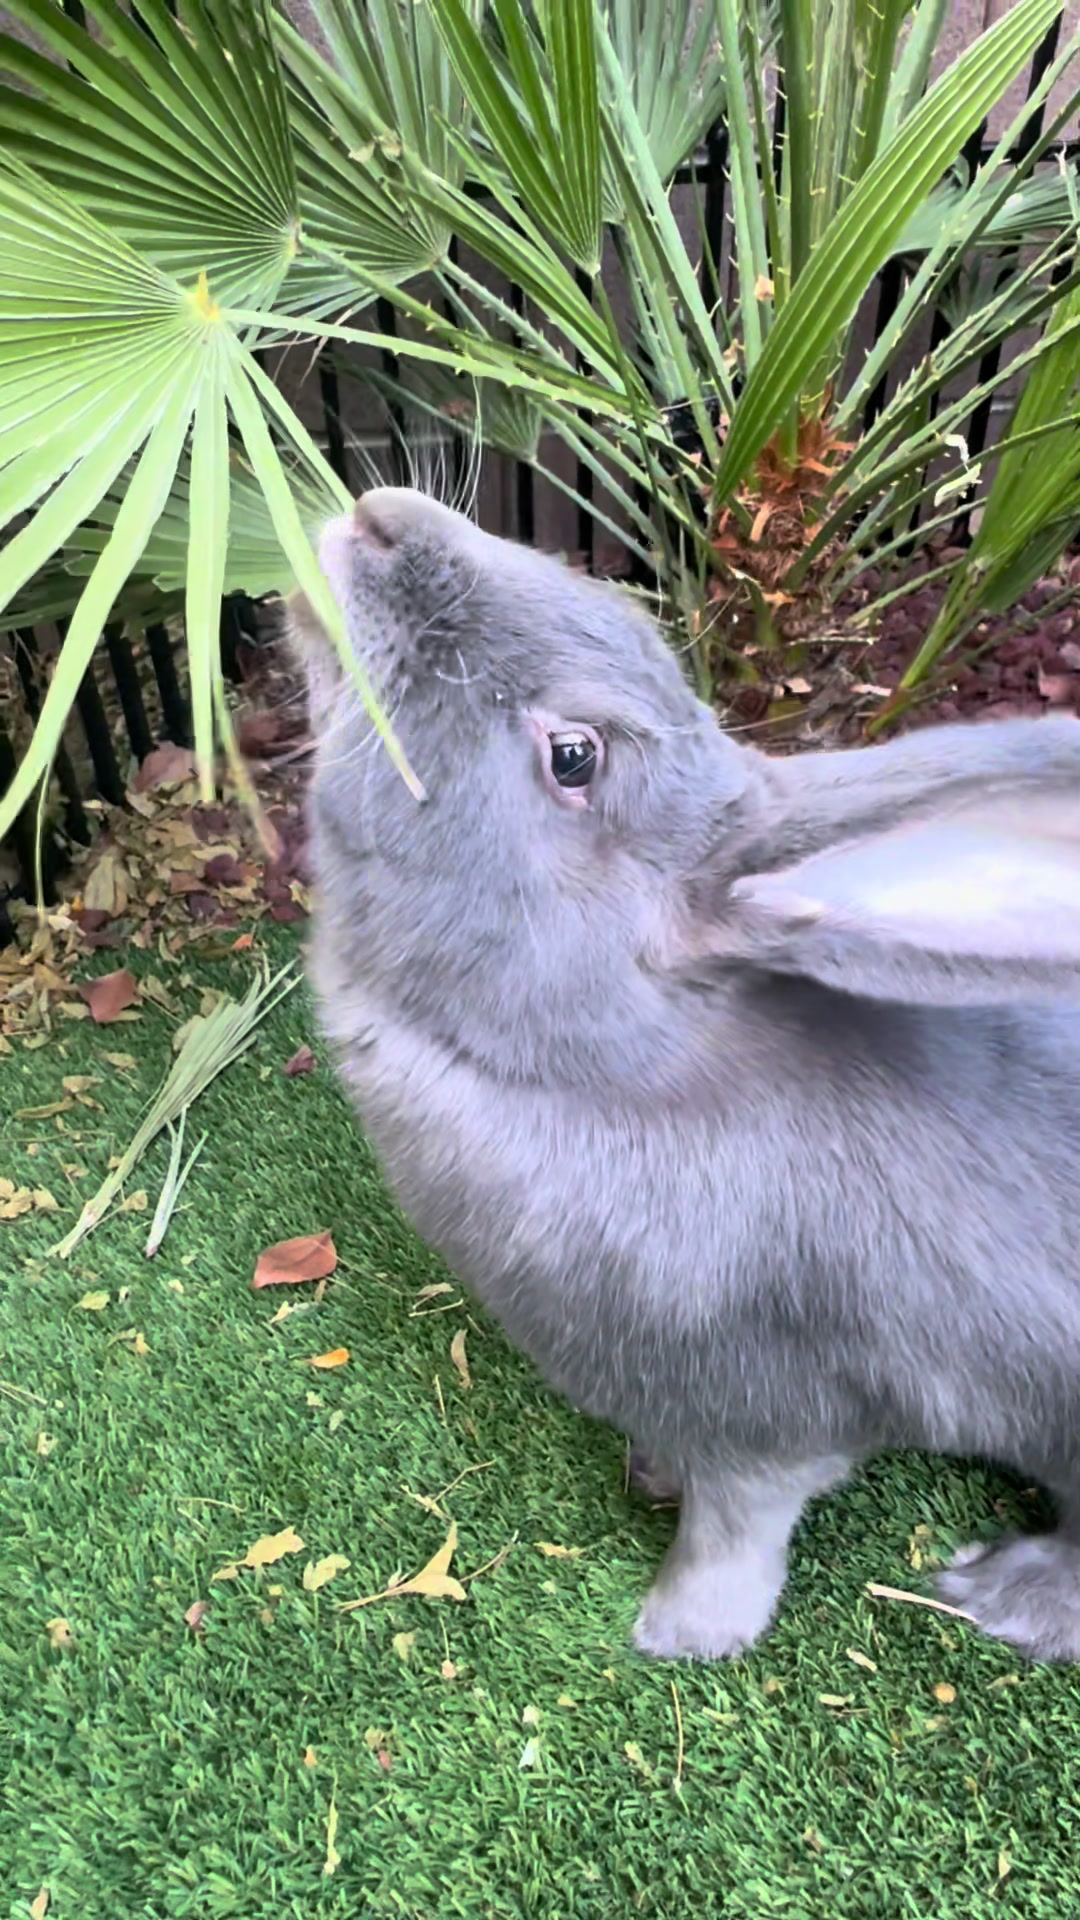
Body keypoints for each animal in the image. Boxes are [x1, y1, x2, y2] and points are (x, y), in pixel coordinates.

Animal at [289, 485, 1080, 1665]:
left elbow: (739, 1527)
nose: (382, 518)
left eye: (575, 756)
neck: (603, 1074)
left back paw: (1005, 1594)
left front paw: (677, 1632)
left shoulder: (764, 1418)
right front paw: (646, 1477)